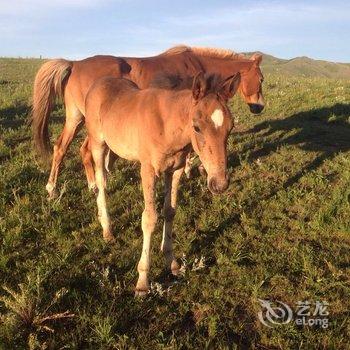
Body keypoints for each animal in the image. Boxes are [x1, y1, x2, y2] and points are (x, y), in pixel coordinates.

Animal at [31, 45, 264, 197]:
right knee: (78, 149)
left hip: (77, 117)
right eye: (261, 79)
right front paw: (188, 169)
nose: (259, 107)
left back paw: (77, 185)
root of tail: (74, 63)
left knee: (67, 147)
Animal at [82, 72, 241, 294]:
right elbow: (150, 218)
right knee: (100, 182)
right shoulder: (148, 171)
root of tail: (99, 83)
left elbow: (170, 211)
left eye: (231, 127)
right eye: (197, 127)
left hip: (115, 149)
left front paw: (171, 262)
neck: (167, 126)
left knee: (105, 175)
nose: (219, 183)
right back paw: (107, 229)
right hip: (99, 143)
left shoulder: (174, 170)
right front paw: (142, 281)